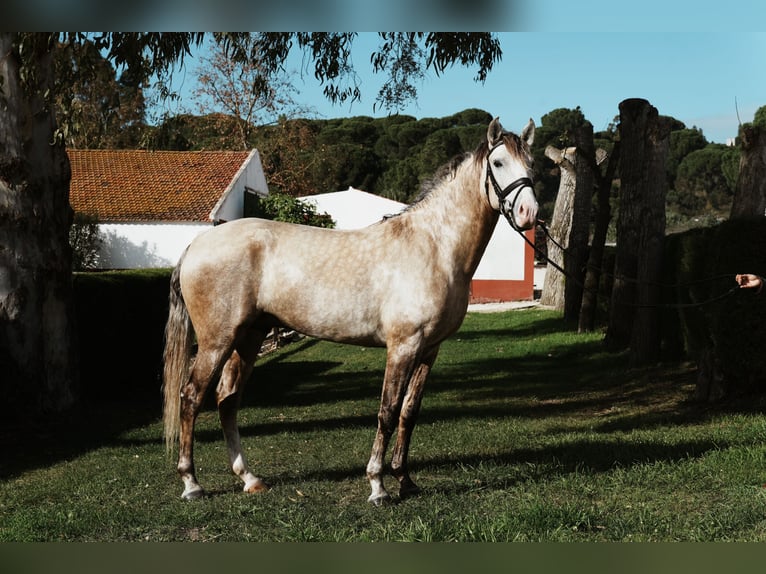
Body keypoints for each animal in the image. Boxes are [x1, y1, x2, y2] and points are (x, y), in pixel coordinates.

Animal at [164, 116, 540, 504]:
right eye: (499, 163)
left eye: (533, 165)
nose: (529, 213)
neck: (433, 246)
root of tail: (196, 244)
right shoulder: (403, 346)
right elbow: (387, 412)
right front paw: (378, 486)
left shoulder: (429, 350)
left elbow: (409, 413)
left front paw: (405, 480)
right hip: (216, 341)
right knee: (191, 398)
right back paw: (191, 483)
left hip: (249, 337)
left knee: (227, 399)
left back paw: (249, 478)